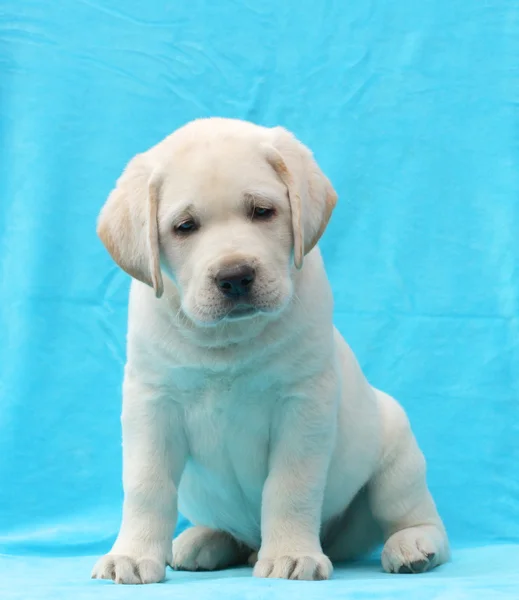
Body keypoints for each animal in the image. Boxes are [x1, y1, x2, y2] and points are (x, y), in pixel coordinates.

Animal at [91, 118, 448, 584]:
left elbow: (290, 487)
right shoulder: (151, 404)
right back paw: (204, 540)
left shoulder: (303, 406)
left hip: (397, 457)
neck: (228, 340)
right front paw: (131, 555)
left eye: (262, 211)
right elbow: (146, 486)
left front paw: (292, 554)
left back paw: (413, 545)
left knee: (417, 518)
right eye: (185, 226)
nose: (235, 276)